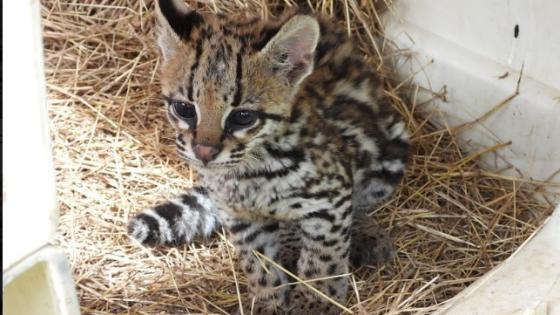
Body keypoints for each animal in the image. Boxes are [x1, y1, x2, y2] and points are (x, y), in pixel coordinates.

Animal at [128, 1, 412, 314]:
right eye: (184, 109)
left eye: (243, 116)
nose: (204, 153)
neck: (250, 171)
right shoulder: (239, 216)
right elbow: (258, 265)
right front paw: (268, 302)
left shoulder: (332, 197)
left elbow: (323, 259)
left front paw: (315, 303)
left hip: (390, 152)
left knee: (359, 203)